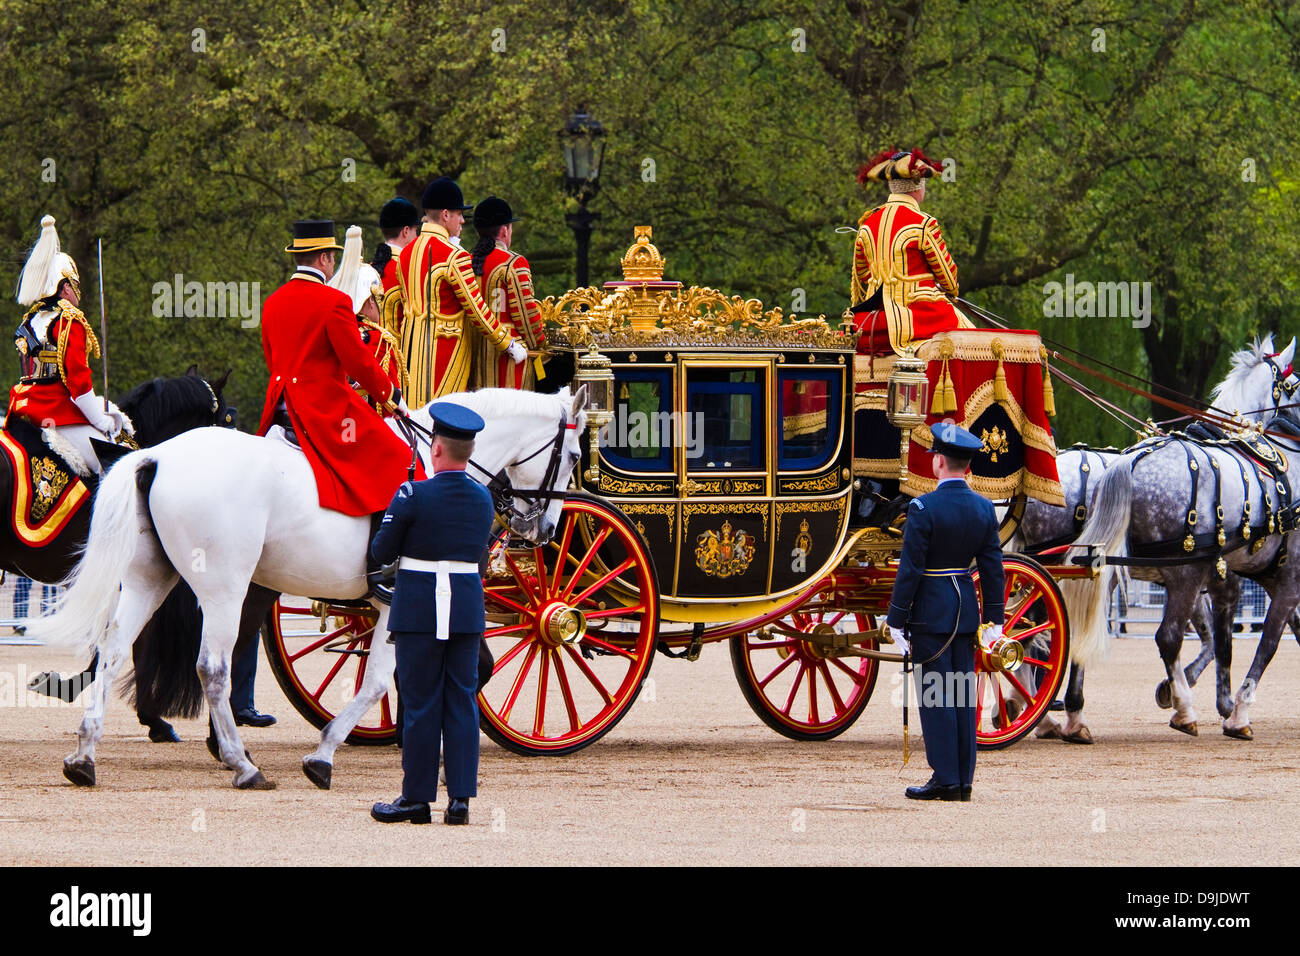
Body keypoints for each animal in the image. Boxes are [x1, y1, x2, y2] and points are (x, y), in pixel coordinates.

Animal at [32, 385, 587, 790]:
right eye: (575, 454)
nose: (545, 530)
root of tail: (158, 457)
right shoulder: (403, 602)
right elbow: (379, 682)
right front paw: (324, 755)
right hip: (224, 591)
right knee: (211, 667)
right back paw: (242, 764)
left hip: (151, 581)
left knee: (112, 651)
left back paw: (84, 756)